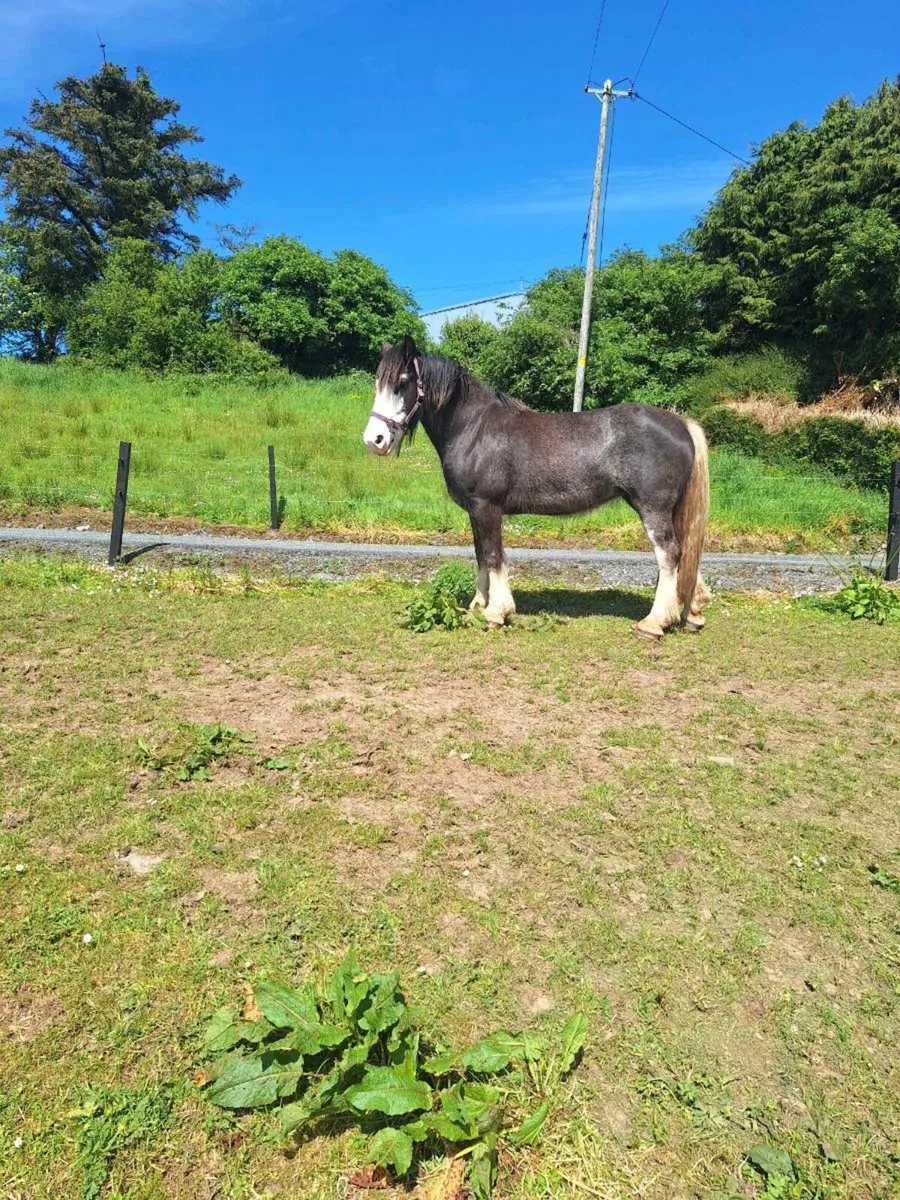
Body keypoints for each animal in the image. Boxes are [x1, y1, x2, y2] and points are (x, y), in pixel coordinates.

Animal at [362, 336, 710, 638]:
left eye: (402, 382)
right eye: (377, 382)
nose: (374, 440)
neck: (473, 428)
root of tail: (681, 424)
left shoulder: (487, 507)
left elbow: (493, 555)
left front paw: (496, 613)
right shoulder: (475, 511)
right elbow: (480, 554)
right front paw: (478, 605)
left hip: (652, 508)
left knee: (669, 553)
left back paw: (654, 622)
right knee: (684, 552)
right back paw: (691, 613)